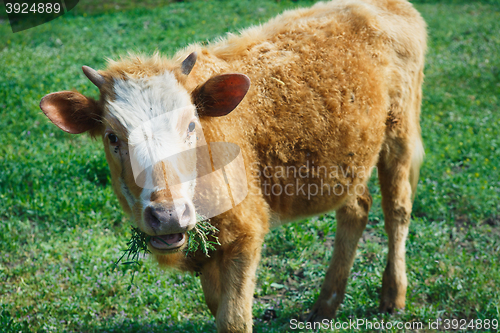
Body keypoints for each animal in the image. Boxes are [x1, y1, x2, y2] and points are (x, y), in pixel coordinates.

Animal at [39, 1, 426, 330]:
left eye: (190, 125)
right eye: (112, 137)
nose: (167, 215)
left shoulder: (246, 234)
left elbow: (234, 319)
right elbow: (217, 306)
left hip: (400, 134)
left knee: (397, 210)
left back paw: (392, 294)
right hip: (348, 161)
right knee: (357, 208)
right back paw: (325, 305)